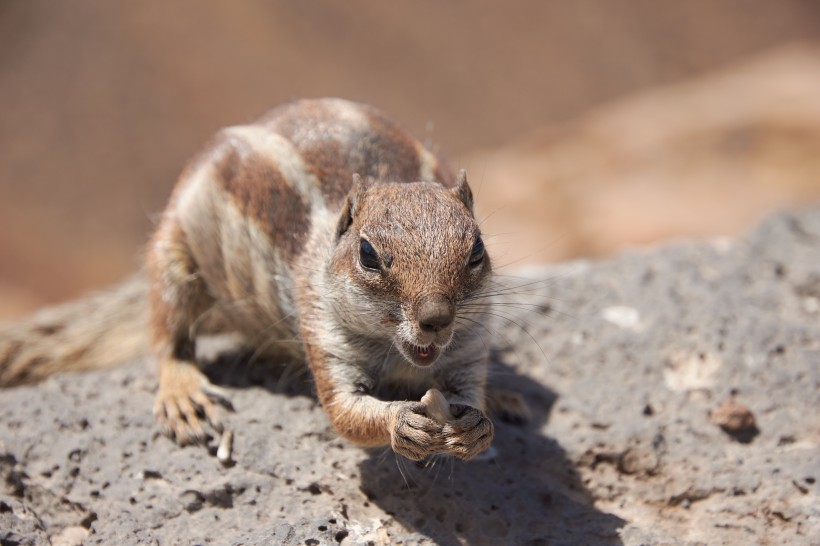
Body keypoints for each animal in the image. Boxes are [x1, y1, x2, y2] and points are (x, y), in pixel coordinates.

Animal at [1, 98, 524, 460]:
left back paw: (506, 398)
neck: (401, 358)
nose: (435, 318)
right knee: (168, 330)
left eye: (477, 250)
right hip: (174, 248)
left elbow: (468, 391)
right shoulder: (323, 328)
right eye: (368, 256)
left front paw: (478, 426)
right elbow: (345, 412)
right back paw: (183, 393)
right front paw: (401, 422)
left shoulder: (470, 344)